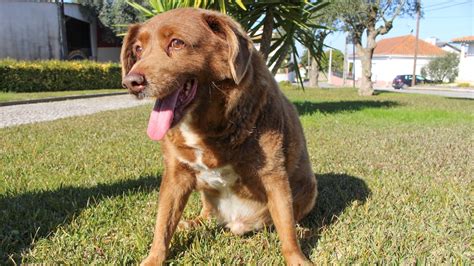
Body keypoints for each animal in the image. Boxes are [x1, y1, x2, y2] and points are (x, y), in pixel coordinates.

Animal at [120, 7, 316, 264]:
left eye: (177, 43)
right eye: (138, 49)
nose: (131, 82)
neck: (205, 126)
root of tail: (237, 223)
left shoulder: (274, 175)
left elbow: (287, 231)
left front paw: (298, 258)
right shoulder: (175, 175)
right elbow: (162, 226)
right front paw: (154, 259)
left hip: (309, 188)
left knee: (289, 220)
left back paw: (302, 229)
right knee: (205, 214)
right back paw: (191, 223)